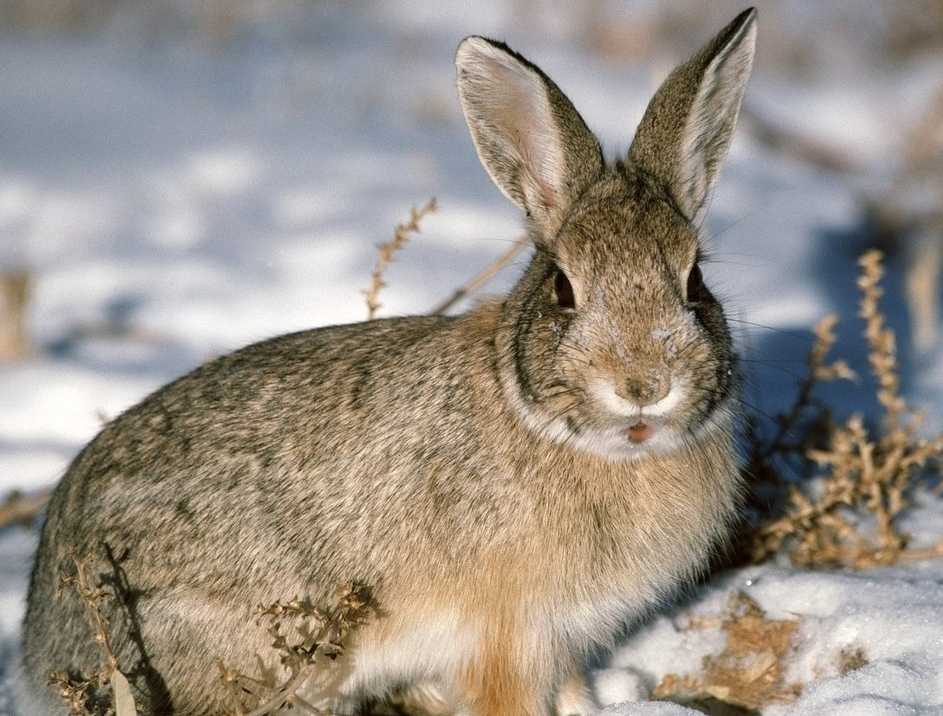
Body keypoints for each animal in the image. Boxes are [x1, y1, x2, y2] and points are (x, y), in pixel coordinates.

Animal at [20, 7, 760, 716]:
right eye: (563, 289)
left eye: (694, 283)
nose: (643, 385)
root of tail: (40, 642)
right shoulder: (506, 635)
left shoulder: (563, 639)